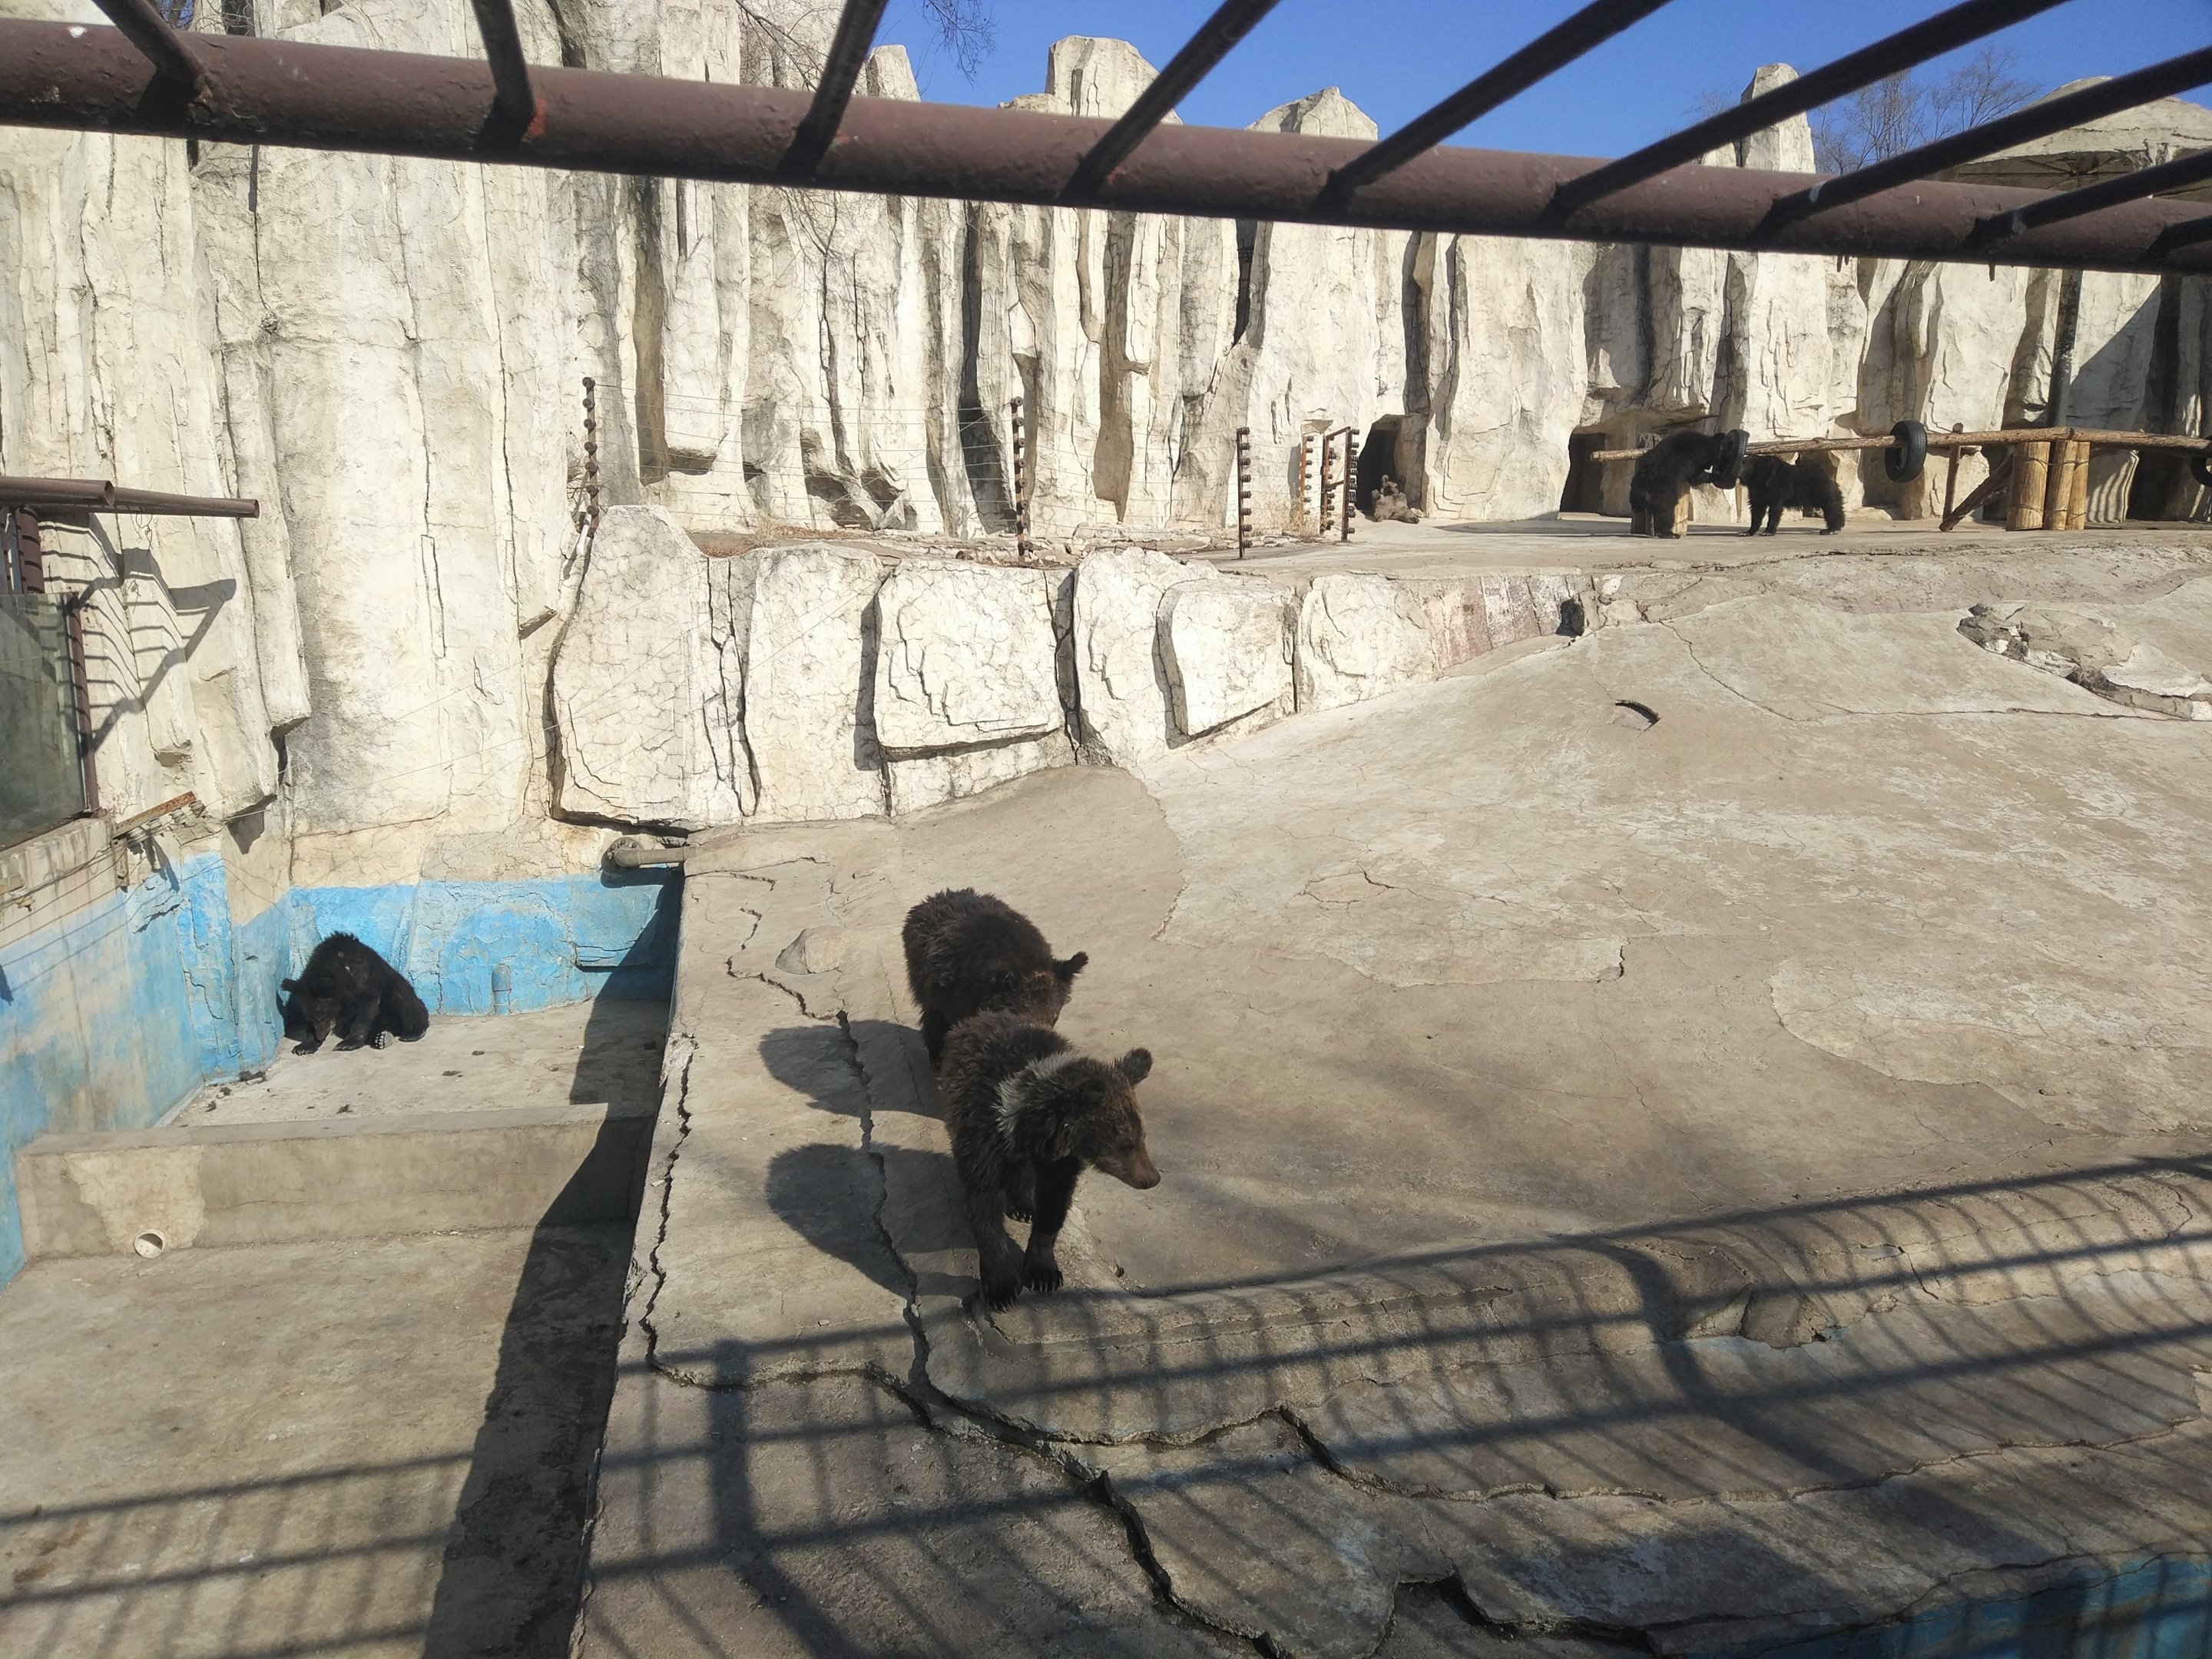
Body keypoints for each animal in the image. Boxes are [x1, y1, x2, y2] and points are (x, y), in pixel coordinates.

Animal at [281, 933, 430, 1055]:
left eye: (322, 1017)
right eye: (311, 1018)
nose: (320, 1036)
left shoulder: (364, 977)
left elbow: (367, 1006)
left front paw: (347, 1043)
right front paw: (305, 1046)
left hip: (396, 992)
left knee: (404, 1001)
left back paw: (412, 1033)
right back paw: (382, 1038)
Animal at [936, 1009, 1158, 1309]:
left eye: (1142, 1135)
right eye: (1125, 1144)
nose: (1152, 1178)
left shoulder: (1059, 1165)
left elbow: (1053, 1208)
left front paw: (1043, 1273)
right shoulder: (982, 1142)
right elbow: (985, 1209)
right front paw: (1001, 1288)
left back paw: (1023, 1205)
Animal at [1628, 430, 1730, 537]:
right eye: (1714, 460)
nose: (1709, 467)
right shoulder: (1690, 460)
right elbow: (1695, 477)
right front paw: (1714, 476)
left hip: (1636, 488)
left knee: (1636, 500)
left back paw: (1637, 508)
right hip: (1663, 490)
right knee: (1666, 510)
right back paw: (1670, 534)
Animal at [1742, 453, 1845, 535]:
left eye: (1744, 464)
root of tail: (1830, 478)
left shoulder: (1778, 489)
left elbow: (1775, 509)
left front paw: (1768, 532)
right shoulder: (1756, 491)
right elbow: (1757, 509)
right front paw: (1747, 532)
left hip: (1823, 491)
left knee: (1832, 508)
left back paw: (1831, 530)